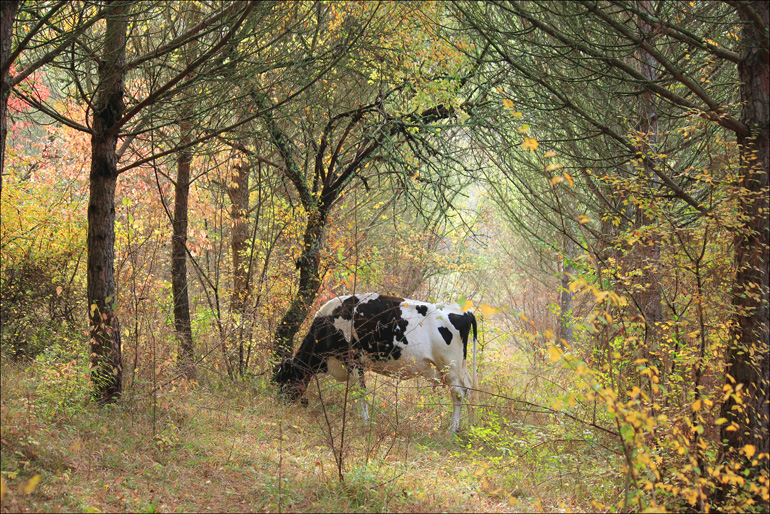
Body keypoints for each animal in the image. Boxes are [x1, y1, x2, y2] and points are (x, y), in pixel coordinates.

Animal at [270, 292, 474, 432]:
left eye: (284, 379)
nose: (280, 402)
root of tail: (463, 311)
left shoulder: (354, 360)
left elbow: (360, 391)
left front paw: (365, 419)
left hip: (450, 366)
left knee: (458, 394)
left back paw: (452, 430)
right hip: (459, 368)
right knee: (468, 390)